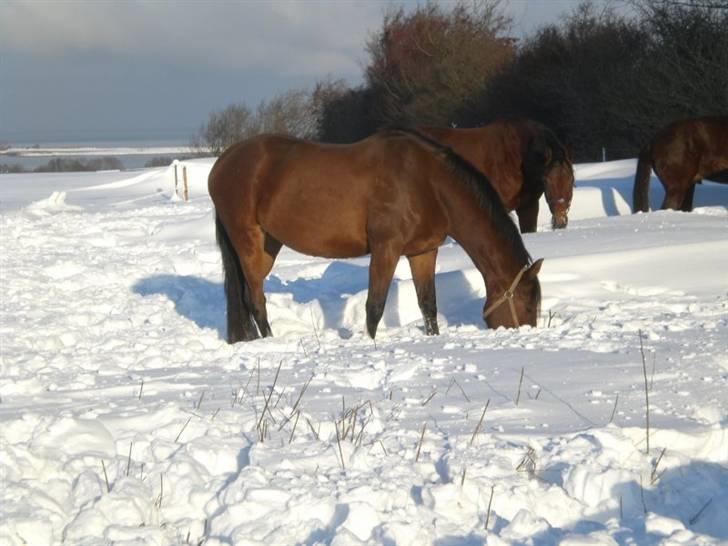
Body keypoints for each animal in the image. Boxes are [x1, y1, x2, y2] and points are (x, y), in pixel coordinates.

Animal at [208, 127, 544, 340]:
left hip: (268, 244)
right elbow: (375, 306)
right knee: (255, 299)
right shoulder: (386, 248)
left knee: (245, 295)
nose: (525, 332)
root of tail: (223, 163)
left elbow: (428, 305)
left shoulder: (423, 251)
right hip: (247, 240)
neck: (427, 183)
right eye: (529, 304)